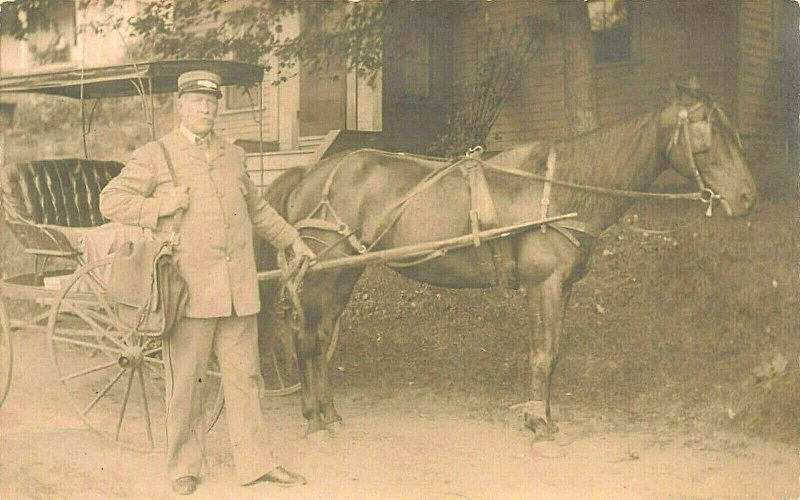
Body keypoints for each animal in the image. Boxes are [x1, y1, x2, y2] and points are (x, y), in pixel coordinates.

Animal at [255, 79, 756, 438]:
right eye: (708, 132)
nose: (748, 198)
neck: (565, 187)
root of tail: (311, 172)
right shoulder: (544, 284)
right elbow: (543, 353)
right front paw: (540, 423)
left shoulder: (562, 288)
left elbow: (552, 354)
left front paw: (541, 414)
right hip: (323, 275)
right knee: (306, 339)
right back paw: (315, 418)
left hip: (345, 273)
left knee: (319, 336)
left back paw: (328, 412)